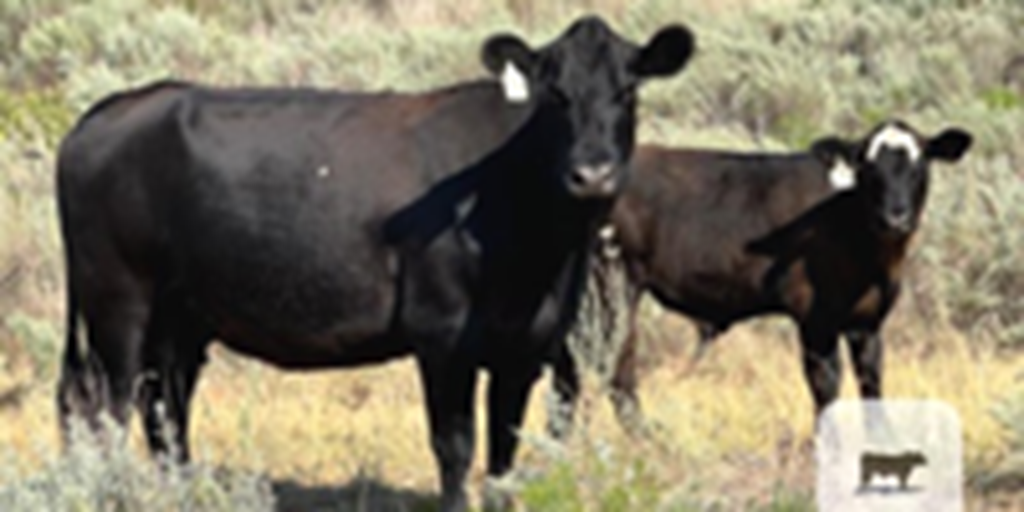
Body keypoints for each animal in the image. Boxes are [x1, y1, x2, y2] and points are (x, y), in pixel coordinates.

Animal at [56, 17, 696, 512]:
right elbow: (455, 446)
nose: (593, 173)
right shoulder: (442, 334)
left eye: (629, 91)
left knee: (165, 409)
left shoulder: (527, 345)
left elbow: (504, 451)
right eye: (555, 94)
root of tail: (114, 107)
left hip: (181, 318)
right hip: (117, 302)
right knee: (107, 407)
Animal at [557, 120, 970, 436]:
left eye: (920, 166)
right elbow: (826, 387)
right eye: (868, 169)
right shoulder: (816, 320)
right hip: (610, 286)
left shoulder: (867, 323)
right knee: (613, 366)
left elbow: (872, 383)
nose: (894, 217)